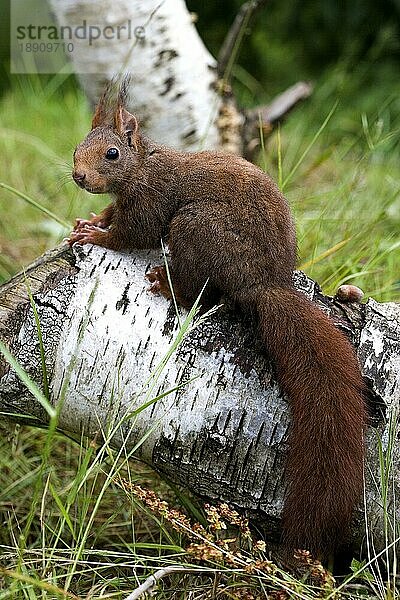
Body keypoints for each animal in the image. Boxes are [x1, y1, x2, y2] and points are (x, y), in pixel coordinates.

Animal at [68, 78, 366, 556]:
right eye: (80, 145)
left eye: (111, 154)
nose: (78, 176)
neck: (143, 166)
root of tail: (264, 283)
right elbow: (114, 214)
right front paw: (90, 220)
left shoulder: (151, 202)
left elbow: (133, 233)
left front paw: (96, 235)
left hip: (195, 226)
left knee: (198, 290)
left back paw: (167, 283)